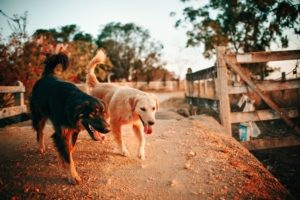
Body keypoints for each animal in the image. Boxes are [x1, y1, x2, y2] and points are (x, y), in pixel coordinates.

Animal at [30, 52, 110, 184]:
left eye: (103, 113)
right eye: (93, 113)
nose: (108, 130)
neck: (72, 105)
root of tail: (46, 76)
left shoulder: (73, 131)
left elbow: (69, 150)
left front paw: (65, 162)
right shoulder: (61, 133)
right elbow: (67, 155)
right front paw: (73, 176)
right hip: (39, 115)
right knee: (39, 131)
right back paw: (41, 147)